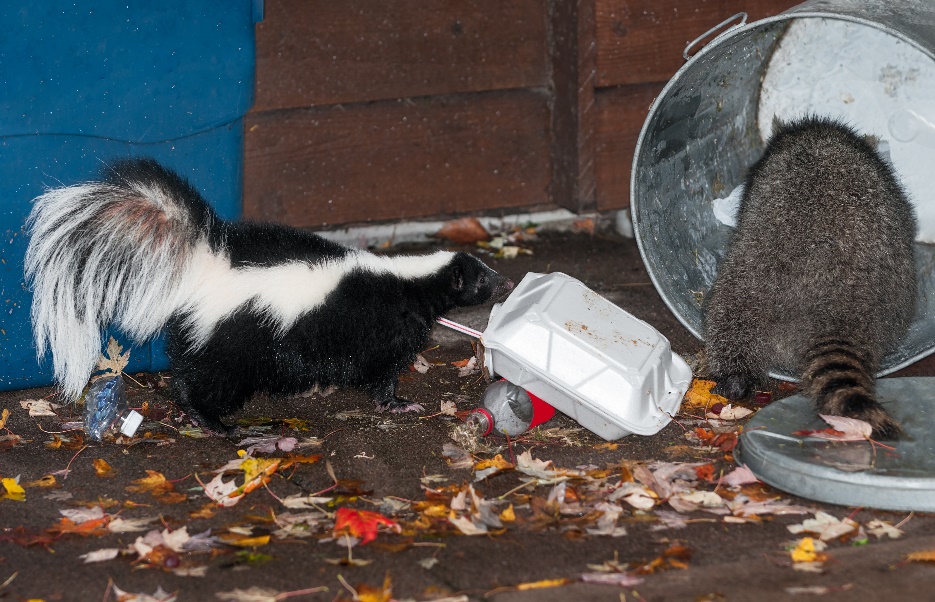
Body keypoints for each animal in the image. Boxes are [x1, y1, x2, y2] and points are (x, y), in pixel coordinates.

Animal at [27, 159, 512, 432]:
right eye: (483, 280)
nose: (508, 283)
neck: (406, 281)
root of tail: (206, 262)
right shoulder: (382, 330)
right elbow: (381, 373)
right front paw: (398, 404)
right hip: (230, 339)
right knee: (200, 381)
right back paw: (213, 423)